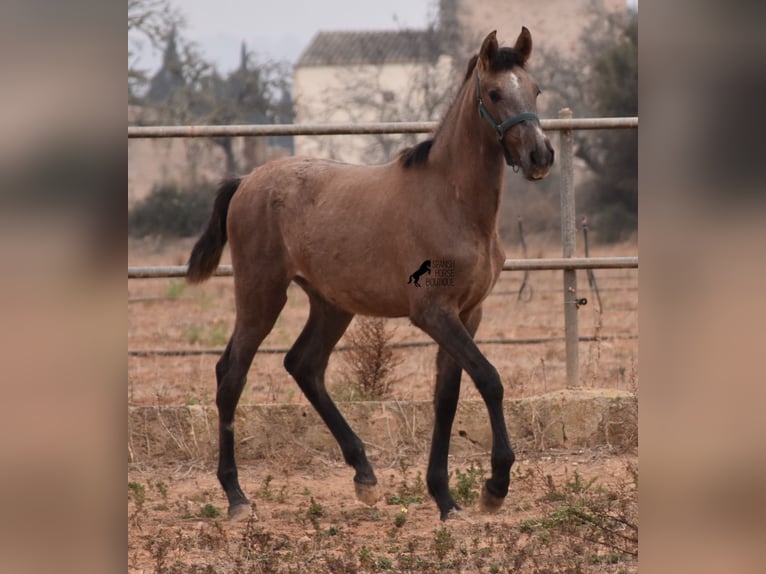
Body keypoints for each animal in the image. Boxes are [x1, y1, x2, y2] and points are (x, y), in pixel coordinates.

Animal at [189, 27, 556, 520]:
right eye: (495, 93)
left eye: (535, 89)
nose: (541, 155)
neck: (452, 202)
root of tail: (246, 180)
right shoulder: (434, 313)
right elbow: (489, 379)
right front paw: (494, 487)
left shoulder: (468, 312)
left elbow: (447, 396)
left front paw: (445, 498)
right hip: (260, 295)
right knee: (231, 375)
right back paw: (236, 497)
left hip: (330, 305)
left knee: (304, 365)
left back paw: (364, 475)